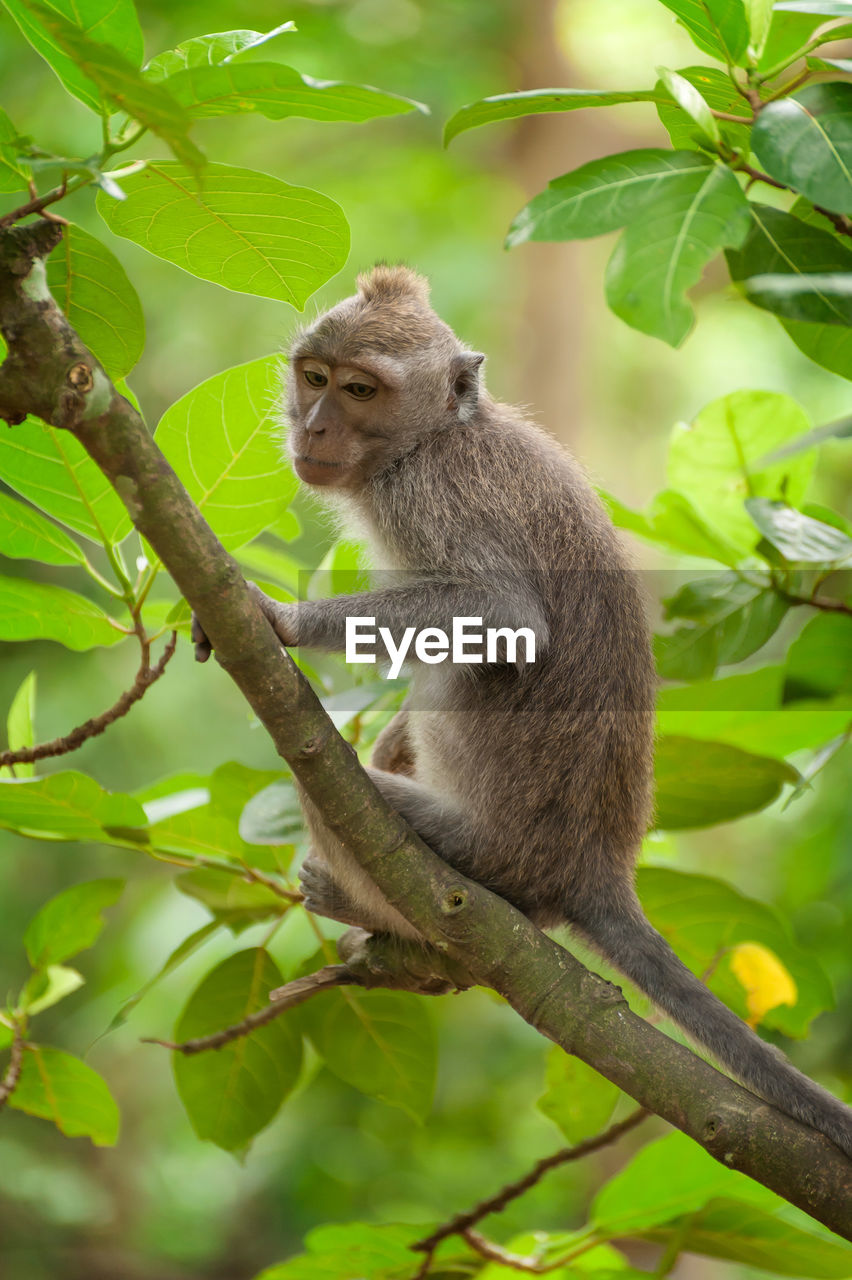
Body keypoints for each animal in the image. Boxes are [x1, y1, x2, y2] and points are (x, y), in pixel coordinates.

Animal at [191, 264, 849, 1157]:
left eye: (361, 389)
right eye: (315, 377)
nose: (315, 427)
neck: (434, 438)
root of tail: (592, 867)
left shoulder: (430, 497)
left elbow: (503, 615)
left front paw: (282, 622)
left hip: (480, 849)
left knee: (327, 774)